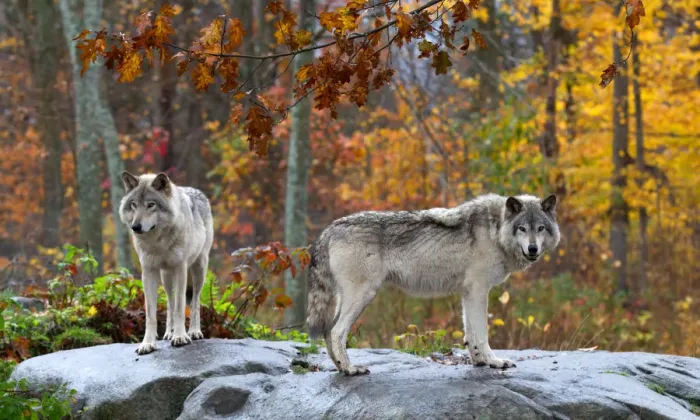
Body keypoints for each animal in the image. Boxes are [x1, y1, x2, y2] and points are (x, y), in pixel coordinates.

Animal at [119, 172, 214, 355]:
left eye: (151, 205)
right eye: (134, 205)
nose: (136, 226)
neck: (158, 243)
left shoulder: (181, 268)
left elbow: (180, 307)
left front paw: (180, 337)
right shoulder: (148, 272)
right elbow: (152, 314)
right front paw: (148, 343)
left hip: (198, 269)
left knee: (195, 301)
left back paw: (193, 332)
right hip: (166, 277)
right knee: (170, 301)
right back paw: (168, 333)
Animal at [307, 193, 560, 375]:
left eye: (540, 228)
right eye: (522, 228)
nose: (533, 249)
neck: (495, 231)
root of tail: (330, 229)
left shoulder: (468, 293)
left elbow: (471, 335)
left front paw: (479, 361)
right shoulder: (479, 290)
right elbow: (482, 334)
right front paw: (494, 362)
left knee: (328, 330)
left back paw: (340, 368)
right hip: (364, 295)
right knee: (336, 331)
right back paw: (350, 369)